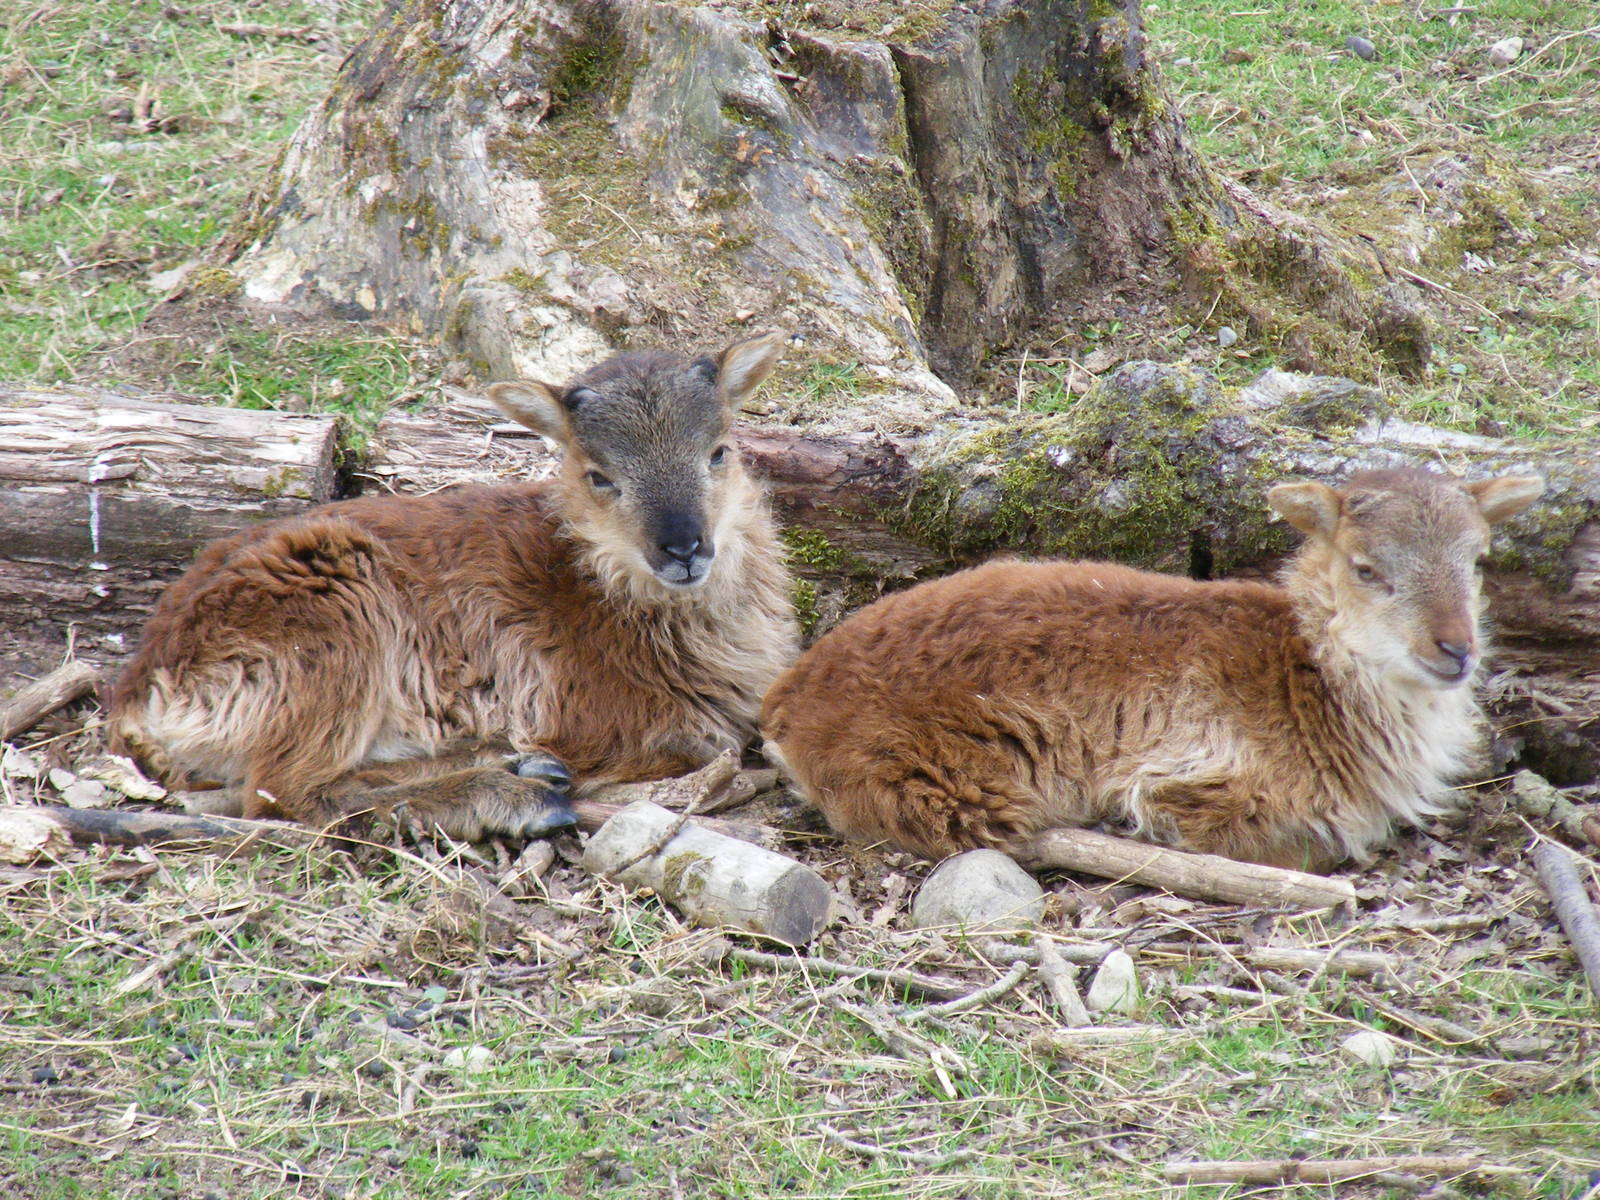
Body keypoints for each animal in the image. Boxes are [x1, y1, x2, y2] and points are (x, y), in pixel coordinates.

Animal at [108, 333, 799, 840]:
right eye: (599, 475)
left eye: (719, 451)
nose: (683, 548)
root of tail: (140, 693)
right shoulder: (609, 720)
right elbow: (700, 745)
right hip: (335, 622)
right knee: (287, 793)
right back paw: (514, 797)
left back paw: (516, 763)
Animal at [761, 468, 1544, 871]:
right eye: (1366, 568)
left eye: (1477, 561)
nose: (1455, 649)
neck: (1309, 678)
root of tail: (788, 702)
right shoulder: (1213, 783)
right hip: (942, 781)